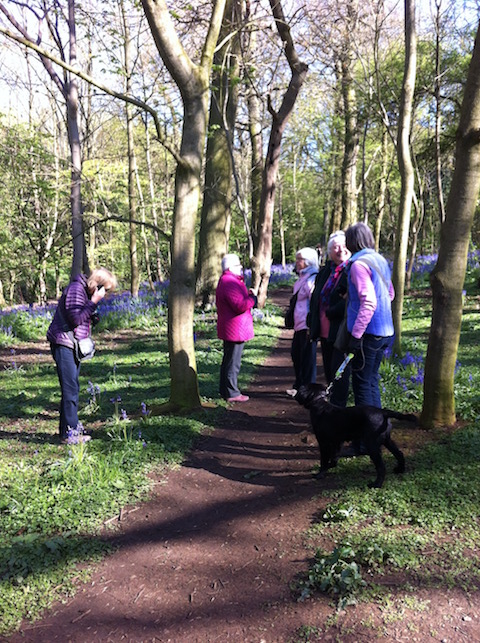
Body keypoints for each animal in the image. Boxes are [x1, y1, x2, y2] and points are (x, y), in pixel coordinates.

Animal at [290, 382, 418, 488]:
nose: (294, 388)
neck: (319, 402)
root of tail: (383, 412)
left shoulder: (323, 442)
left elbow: (324, 460)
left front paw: (320, 474)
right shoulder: (337, 441)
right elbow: (334, 457)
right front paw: (331, 466)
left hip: (372, 444)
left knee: (381, 467)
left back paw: (376, 484)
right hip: (387, 440)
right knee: (399, 454)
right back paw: (399, 470)